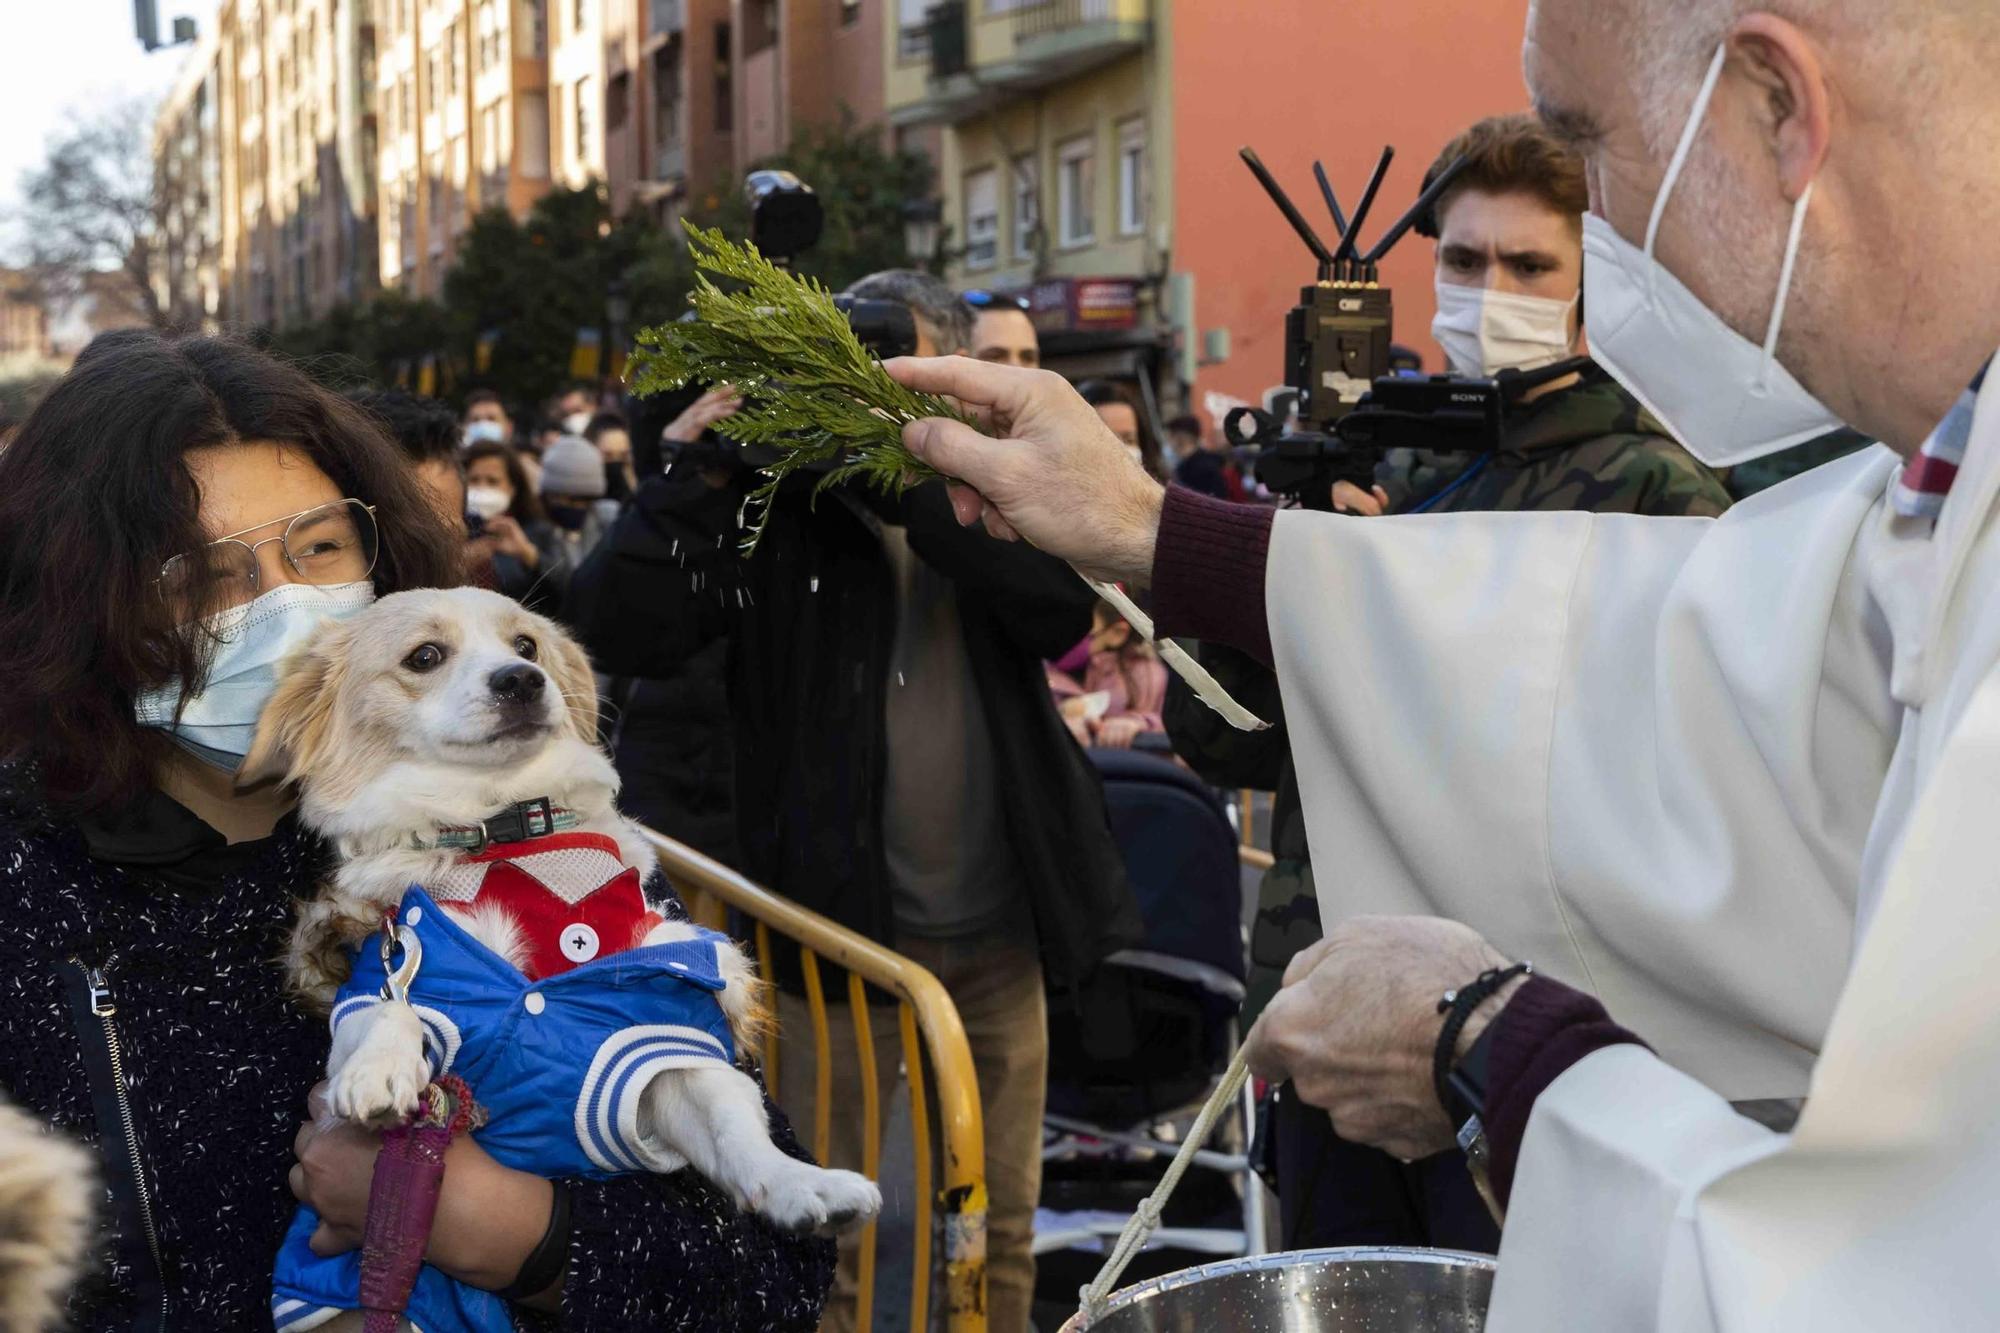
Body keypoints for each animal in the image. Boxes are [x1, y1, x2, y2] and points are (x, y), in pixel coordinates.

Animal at [244, 588, 884, 1232]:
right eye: (424, 656)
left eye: (527, 645)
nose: (522, 679)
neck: (502, 829)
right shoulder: (390, 970)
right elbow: (389, 1009)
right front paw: (379, 1068)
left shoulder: (655, 1045)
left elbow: (731, 1117)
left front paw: (799, 1184)